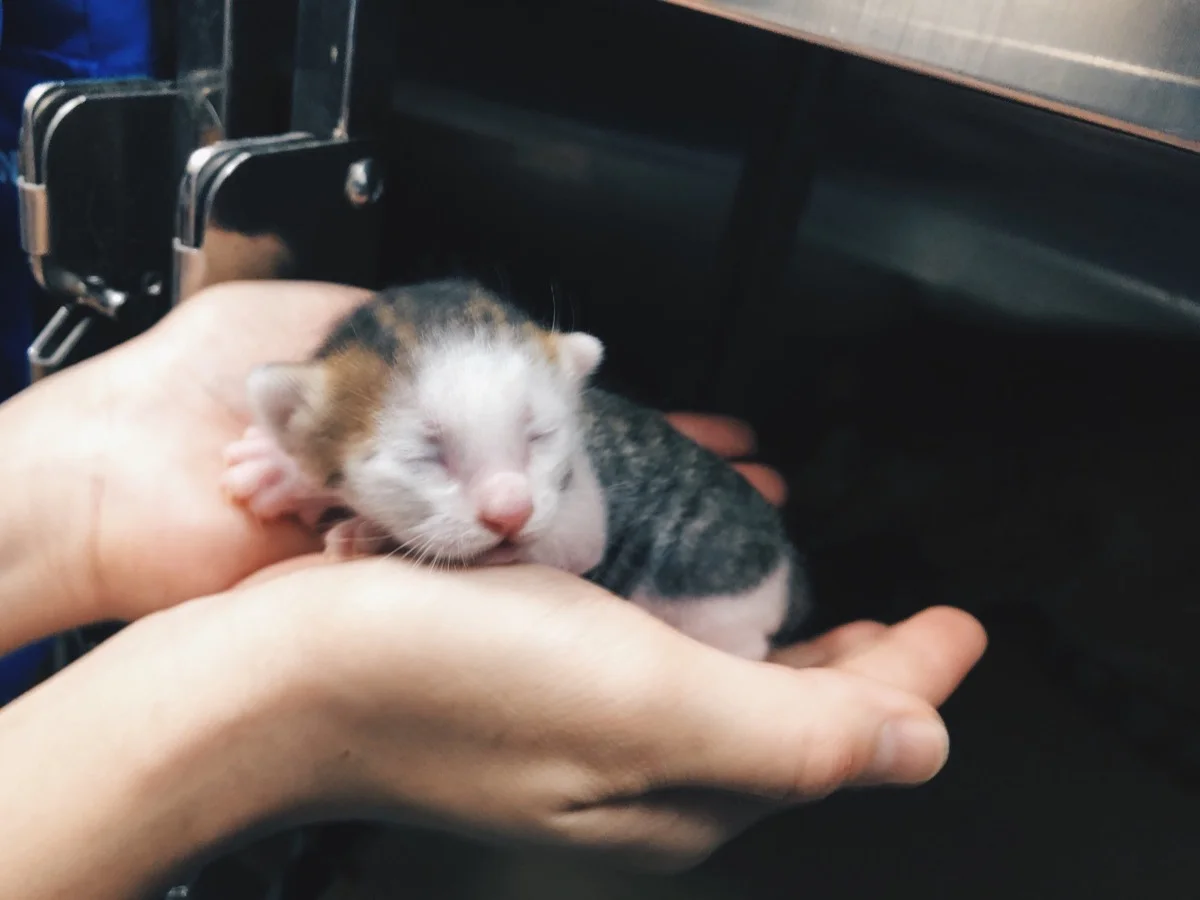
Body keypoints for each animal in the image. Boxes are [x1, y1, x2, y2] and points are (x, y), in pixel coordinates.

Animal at [221, 278, 812, 660]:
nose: (511, 511)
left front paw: (368, 531)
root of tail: (785, 564)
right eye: (425, 455)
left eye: (539, 437)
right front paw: (282, 466)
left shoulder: (578, 517)